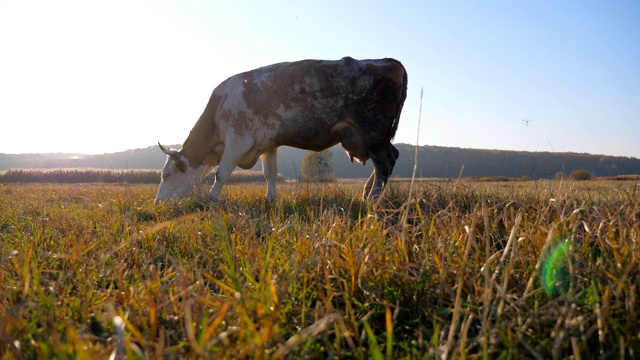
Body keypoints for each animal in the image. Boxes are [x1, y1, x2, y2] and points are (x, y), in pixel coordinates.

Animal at [154, 56, 404, 204]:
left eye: (166, 175)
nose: (157, 203)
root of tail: (388, 61)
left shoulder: (238, 140)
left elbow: (221, 173)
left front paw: (211, 200)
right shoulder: (267, 144)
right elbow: (270, 174)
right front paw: (270, 199)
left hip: (374, 132)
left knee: (384, 163)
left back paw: (373, 198)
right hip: (373, 137)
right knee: (389, 159)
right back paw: (367, 193)